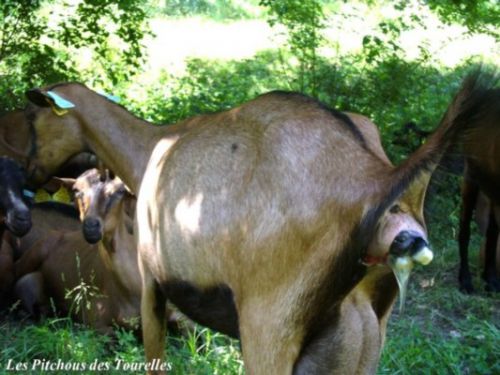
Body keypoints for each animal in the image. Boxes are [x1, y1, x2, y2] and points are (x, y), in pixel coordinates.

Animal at [22, 72, 492, 374]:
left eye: (33, 118)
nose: (28, 173)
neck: (150, 151)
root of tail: (376, 182)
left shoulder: (153, 282)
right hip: (361, 340)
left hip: (269, 329)